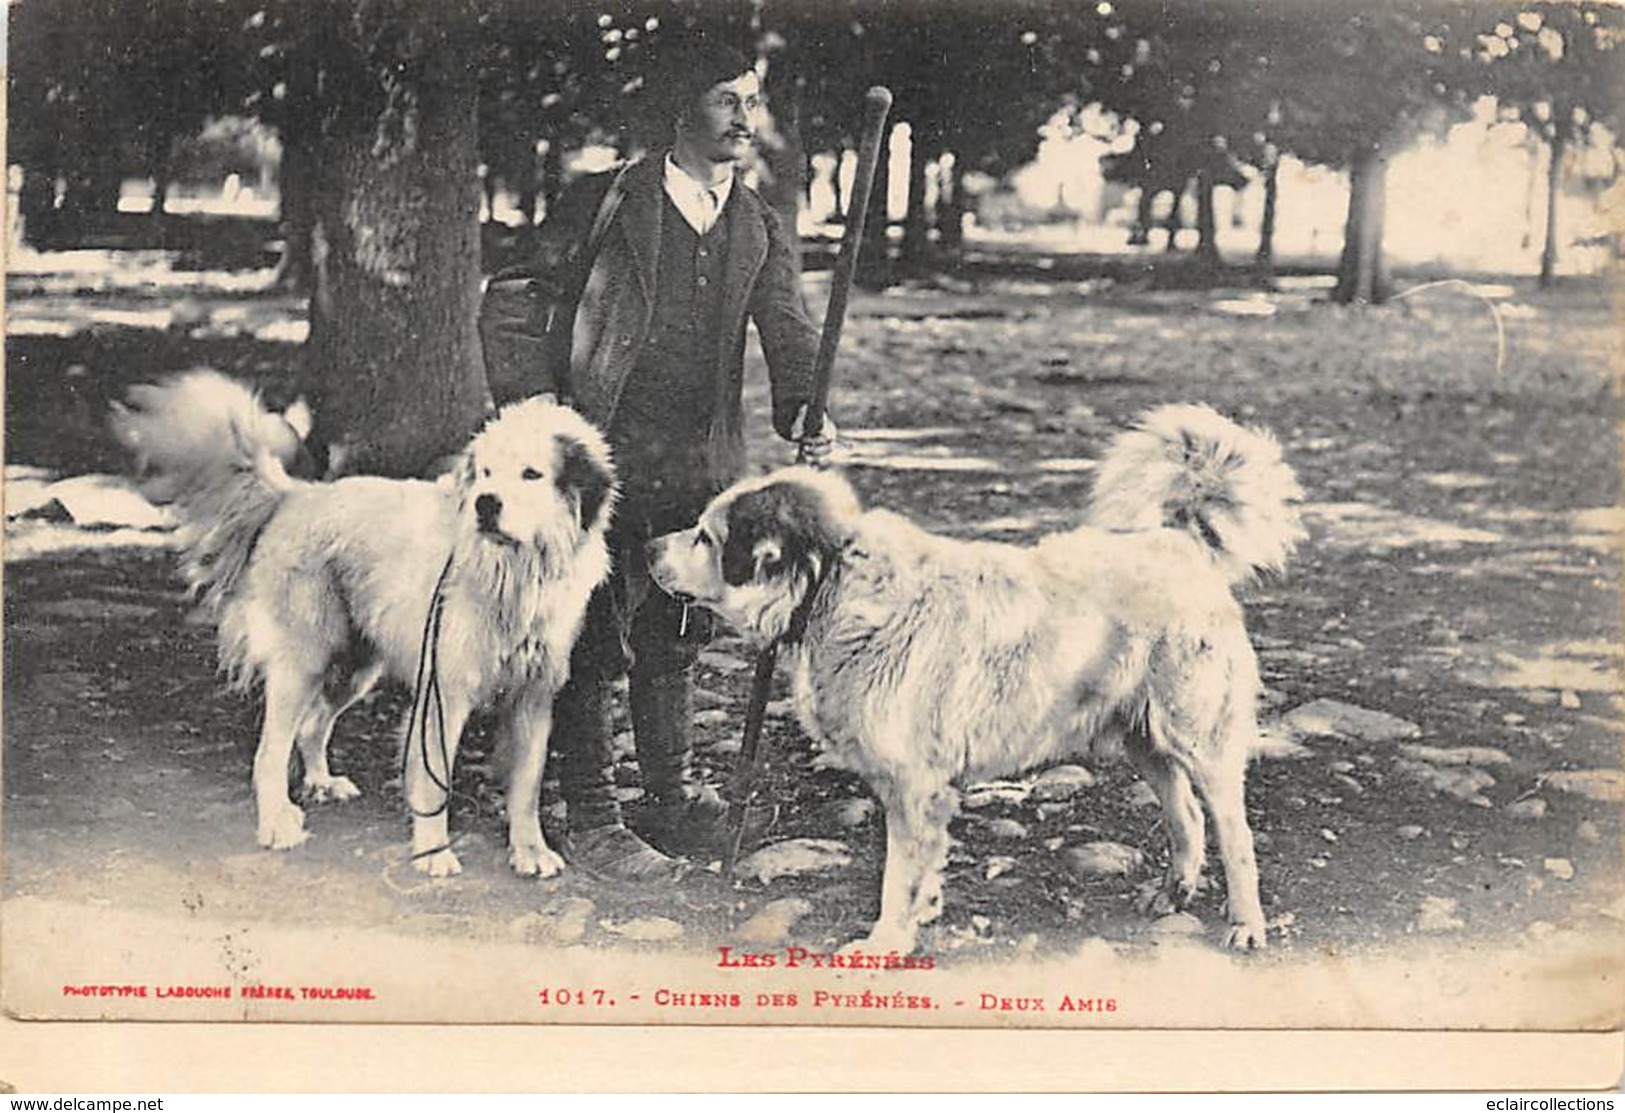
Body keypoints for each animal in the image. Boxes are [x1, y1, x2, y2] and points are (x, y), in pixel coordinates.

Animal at [109, 370, 614, 877]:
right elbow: (433, 779)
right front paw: (434, 850)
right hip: (304, 662)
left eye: (531, 474)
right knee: (270, 752)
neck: (516, 573)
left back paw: (321, 782)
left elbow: (527, 787)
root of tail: (297, 495)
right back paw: (278, 824)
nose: (485, 505)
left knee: (313, 725)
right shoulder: (444, 695)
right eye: (487, 473)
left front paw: (530, 850)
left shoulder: (534, 698)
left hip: (355, 667)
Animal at [653, 402, 1300, 948]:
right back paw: (1172, 893)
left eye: (705, 537)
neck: (833, 582)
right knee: (1184, 815)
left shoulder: (913, 787)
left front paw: (885, 943)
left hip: (1200, 740)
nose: (648, 547)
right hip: (1143, 737)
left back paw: (1246, 925)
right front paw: (920, 916)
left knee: (1233, 834)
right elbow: (922, 870)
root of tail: (1179, 543)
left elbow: (898, 878)